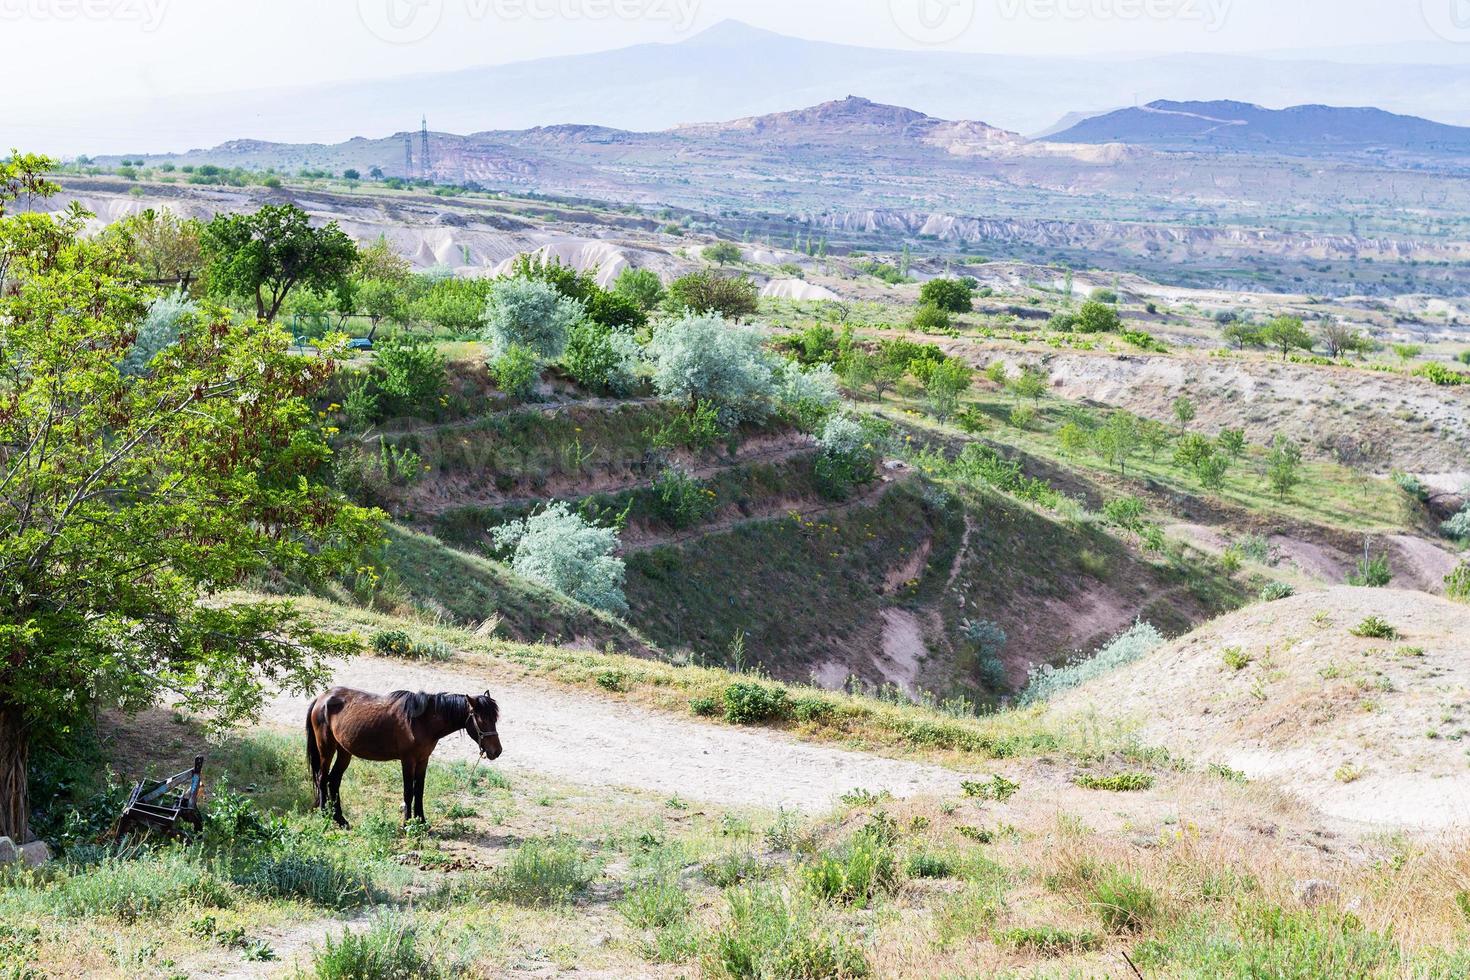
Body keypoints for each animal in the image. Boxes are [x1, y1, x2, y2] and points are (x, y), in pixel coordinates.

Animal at [302, 690, 499, 828]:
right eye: (481, 720)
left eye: (495, 719)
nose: (497, 751)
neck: (422, 722)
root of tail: (321, 698)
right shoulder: (408, 760)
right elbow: (408, 792)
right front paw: (407, 824)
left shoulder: (423, 760)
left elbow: (419, 791)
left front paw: (421, 821)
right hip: (326, 748)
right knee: (322, 778)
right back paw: (324, 815)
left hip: (344, 751)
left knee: (334, 781)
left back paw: (341, 820)